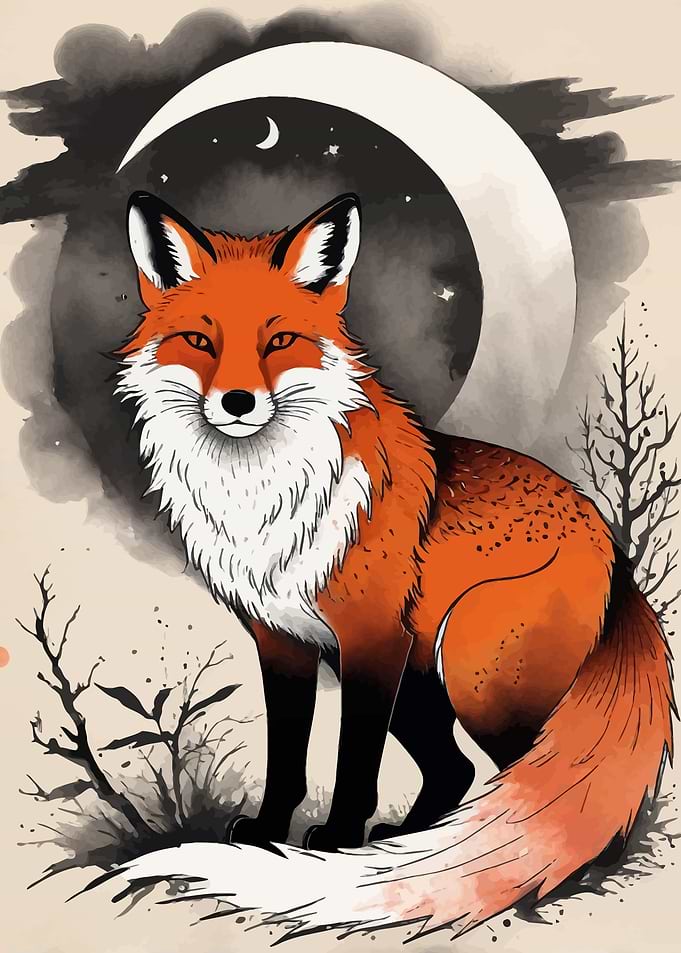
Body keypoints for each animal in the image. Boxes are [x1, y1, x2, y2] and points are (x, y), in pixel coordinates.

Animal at [109, 189, 675, 938]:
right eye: (200, 342)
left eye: (279, 341)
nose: (237, 403)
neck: (261, 495)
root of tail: (613, 546)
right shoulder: (283, 639)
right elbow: (287, 756)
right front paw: (268, 834)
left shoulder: (369, 637)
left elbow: (353, 760)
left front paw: (336, 839)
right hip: (422, 683)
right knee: (456, 773)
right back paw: (409, 843)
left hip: (477, 679)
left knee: (539, 786)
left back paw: (553, 879)